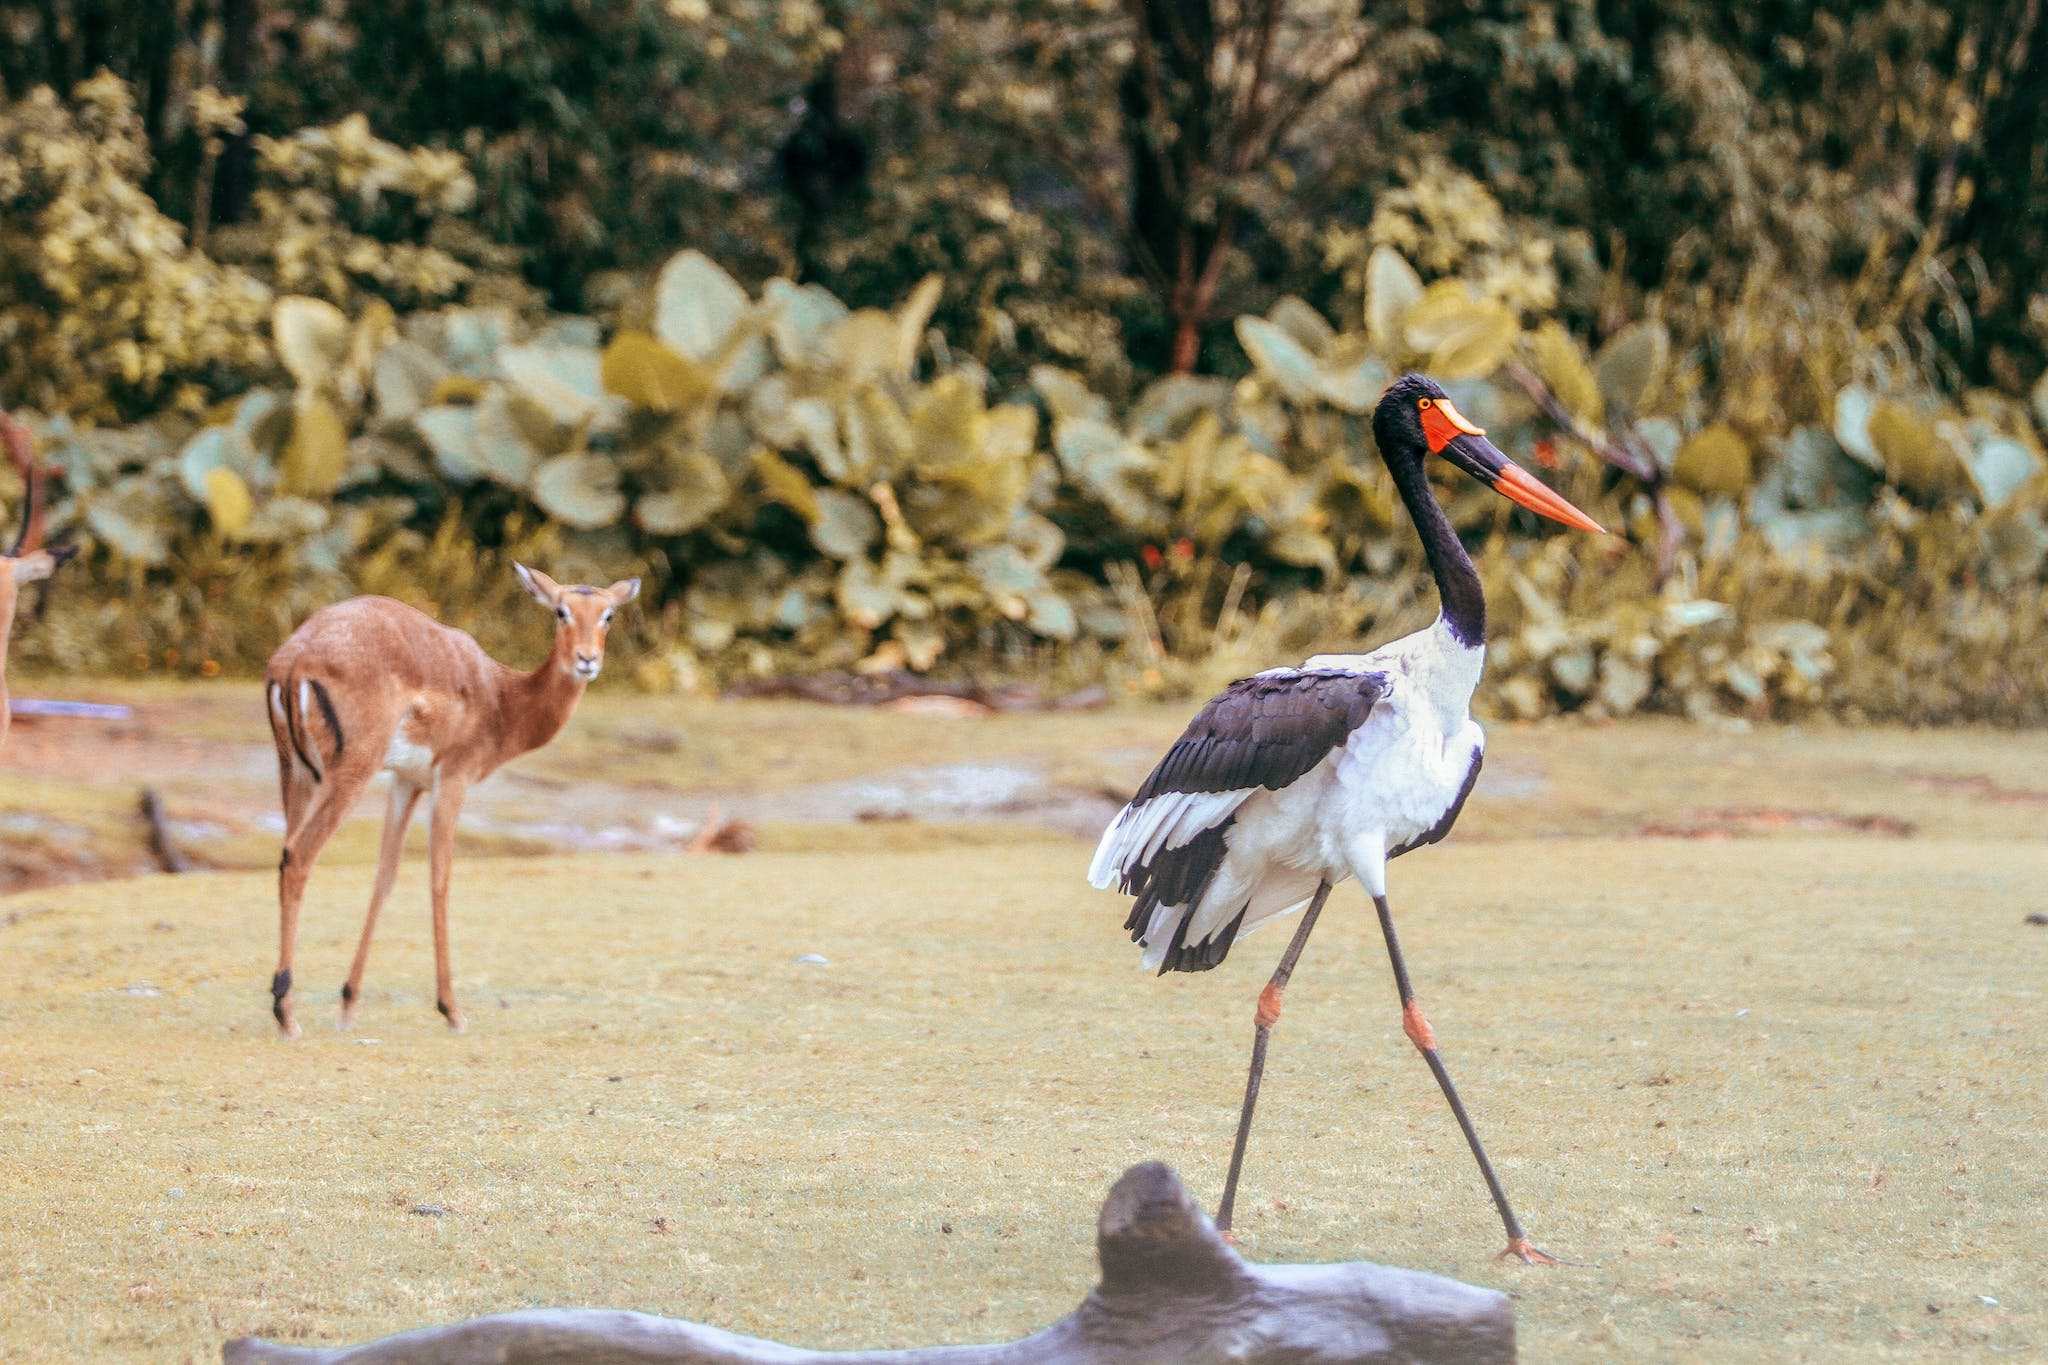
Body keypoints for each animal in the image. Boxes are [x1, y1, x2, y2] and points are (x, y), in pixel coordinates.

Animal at [264, 564, 640, 1037]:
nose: (586, 660)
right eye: (561, 610)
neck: (500, 696)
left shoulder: (406, 782)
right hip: (349, 776)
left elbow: (385, 876)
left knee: (285, 856)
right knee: (299, 857)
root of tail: (296, 656)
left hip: (295, 774)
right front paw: (452, 1010)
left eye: (609, 614)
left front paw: (349, 1005)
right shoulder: (453, 780)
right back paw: (287, 1014)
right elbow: (440, 880)